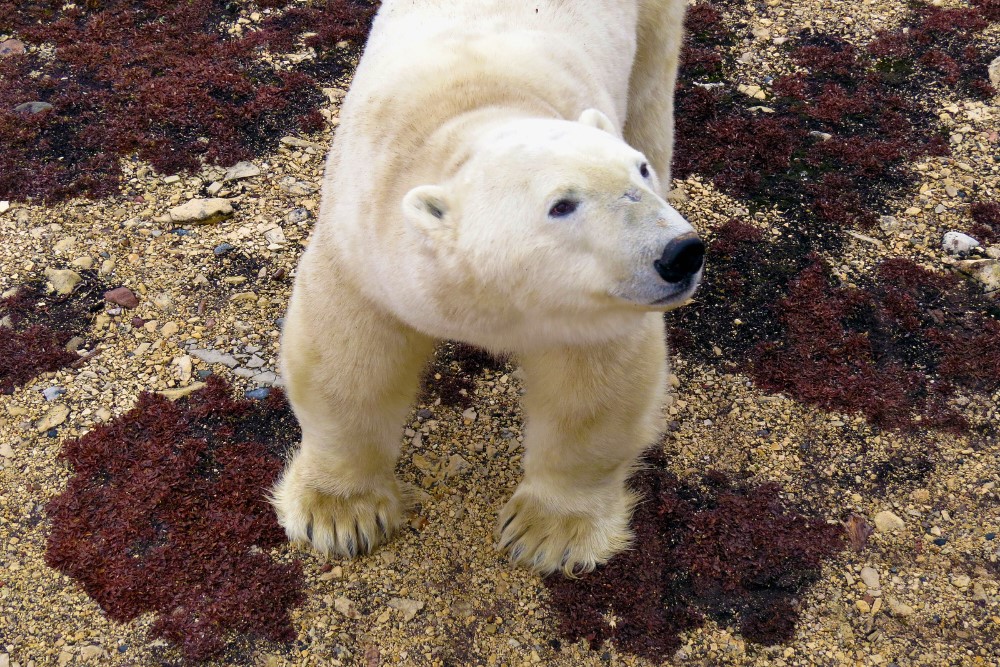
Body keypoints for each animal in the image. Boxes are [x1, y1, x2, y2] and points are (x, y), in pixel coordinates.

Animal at [271, 0, 702, 576]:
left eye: (640, 173)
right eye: (562, 204)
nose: (680, 253)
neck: (476, 113)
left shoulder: (595, 308)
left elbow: (592, 397)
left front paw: (548, 534)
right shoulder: (366, 247)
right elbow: (347, 364)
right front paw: (338, 516)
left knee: (651, 91)